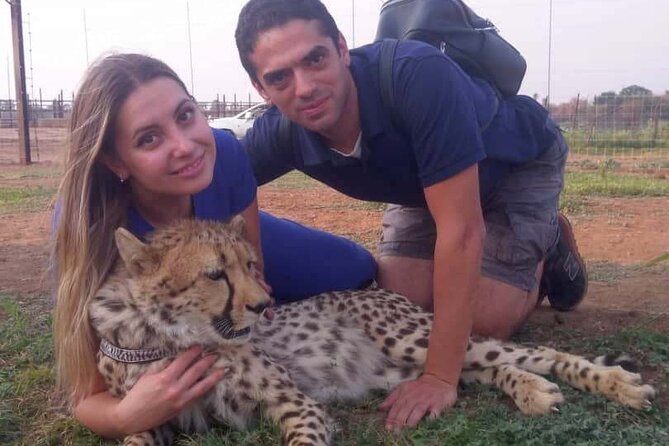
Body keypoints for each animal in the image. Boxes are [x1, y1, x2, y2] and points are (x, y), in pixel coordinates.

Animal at [89, 218, 656, 446]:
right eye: (214, 274)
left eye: (250, 265)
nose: (266, 306)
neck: (169, 336)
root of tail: (381, 291)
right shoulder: (155, 412)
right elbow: (132, 437)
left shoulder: (294, 401)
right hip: (404, 365)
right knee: (476, 371)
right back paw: (534, 391)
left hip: (409, 335)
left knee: (529, 350)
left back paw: (619, 385)